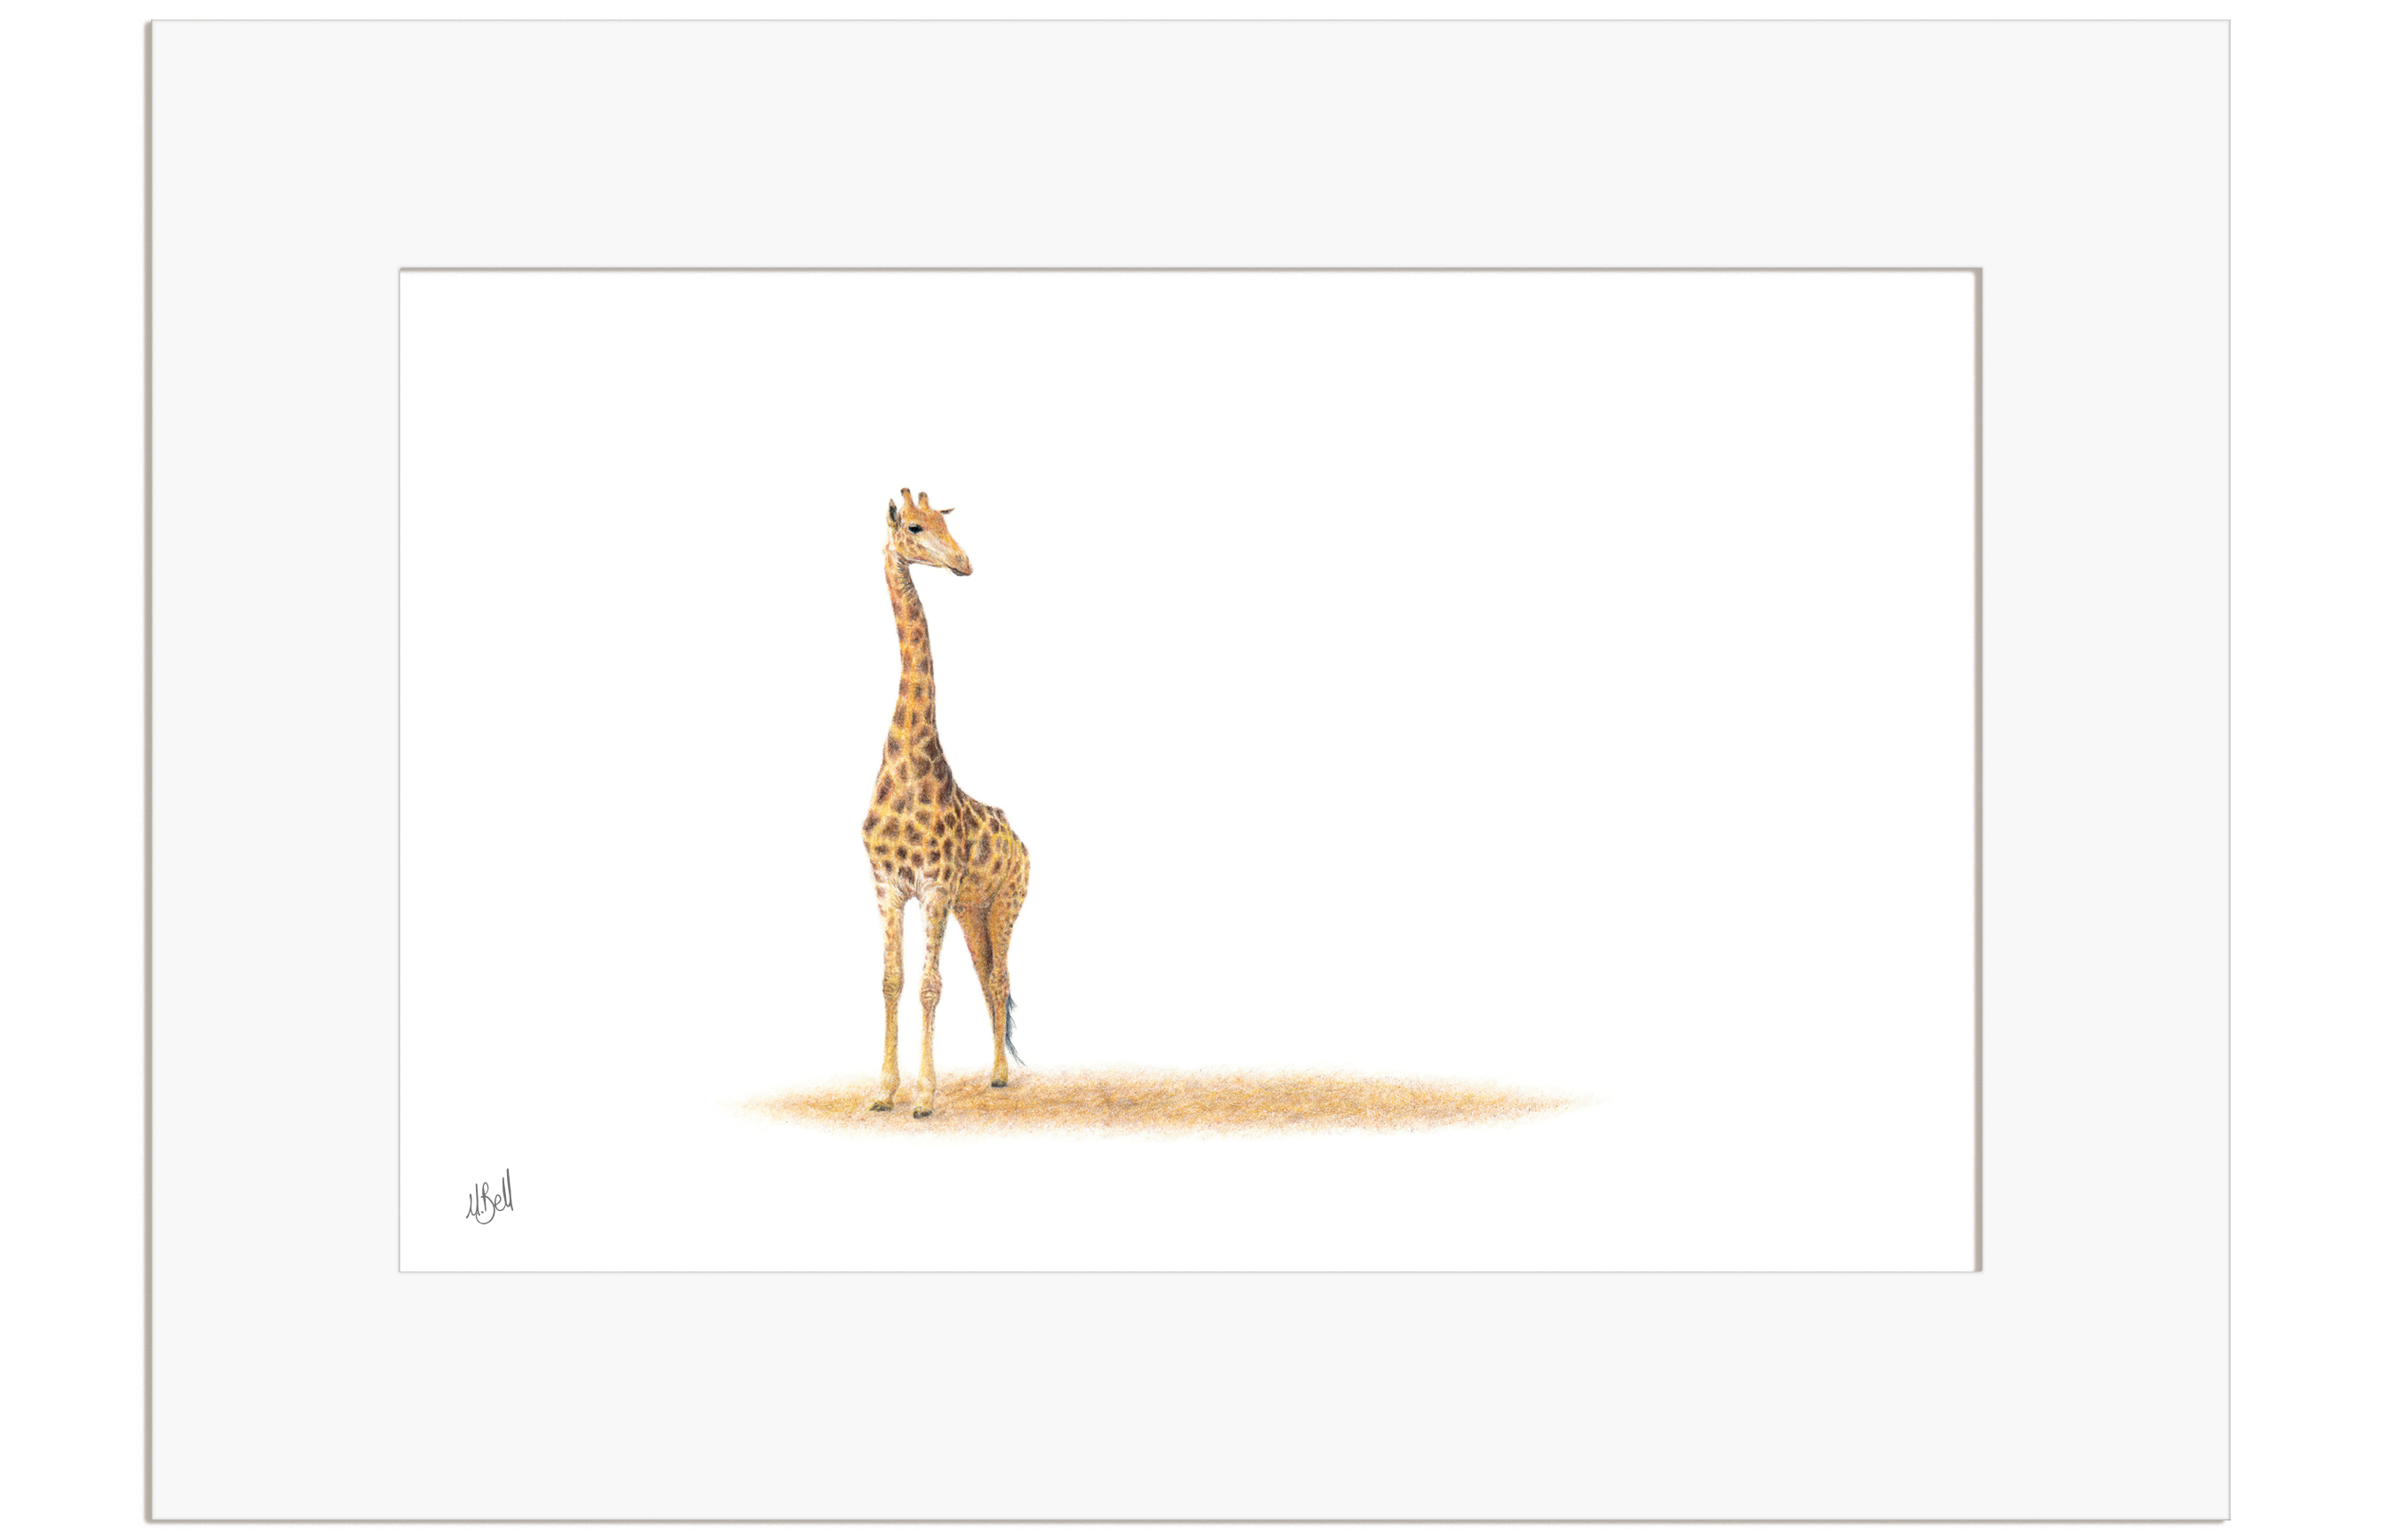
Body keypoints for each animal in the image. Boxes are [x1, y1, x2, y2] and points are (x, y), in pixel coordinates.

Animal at [861, 488, 1030, 1117]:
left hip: (1004, 905)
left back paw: (1001, 1076)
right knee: (990, 979)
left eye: (944, 523)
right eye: (914, 527)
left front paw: (925, 1096)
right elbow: (892, 980)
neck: (910, 765)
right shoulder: (888, 885)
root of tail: (1021, 842)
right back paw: (995, 1071)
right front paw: (884, 1091)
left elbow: (931, 986)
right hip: (972, 911)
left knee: (1000, 980)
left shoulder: (934, 887)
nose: (964, 563)